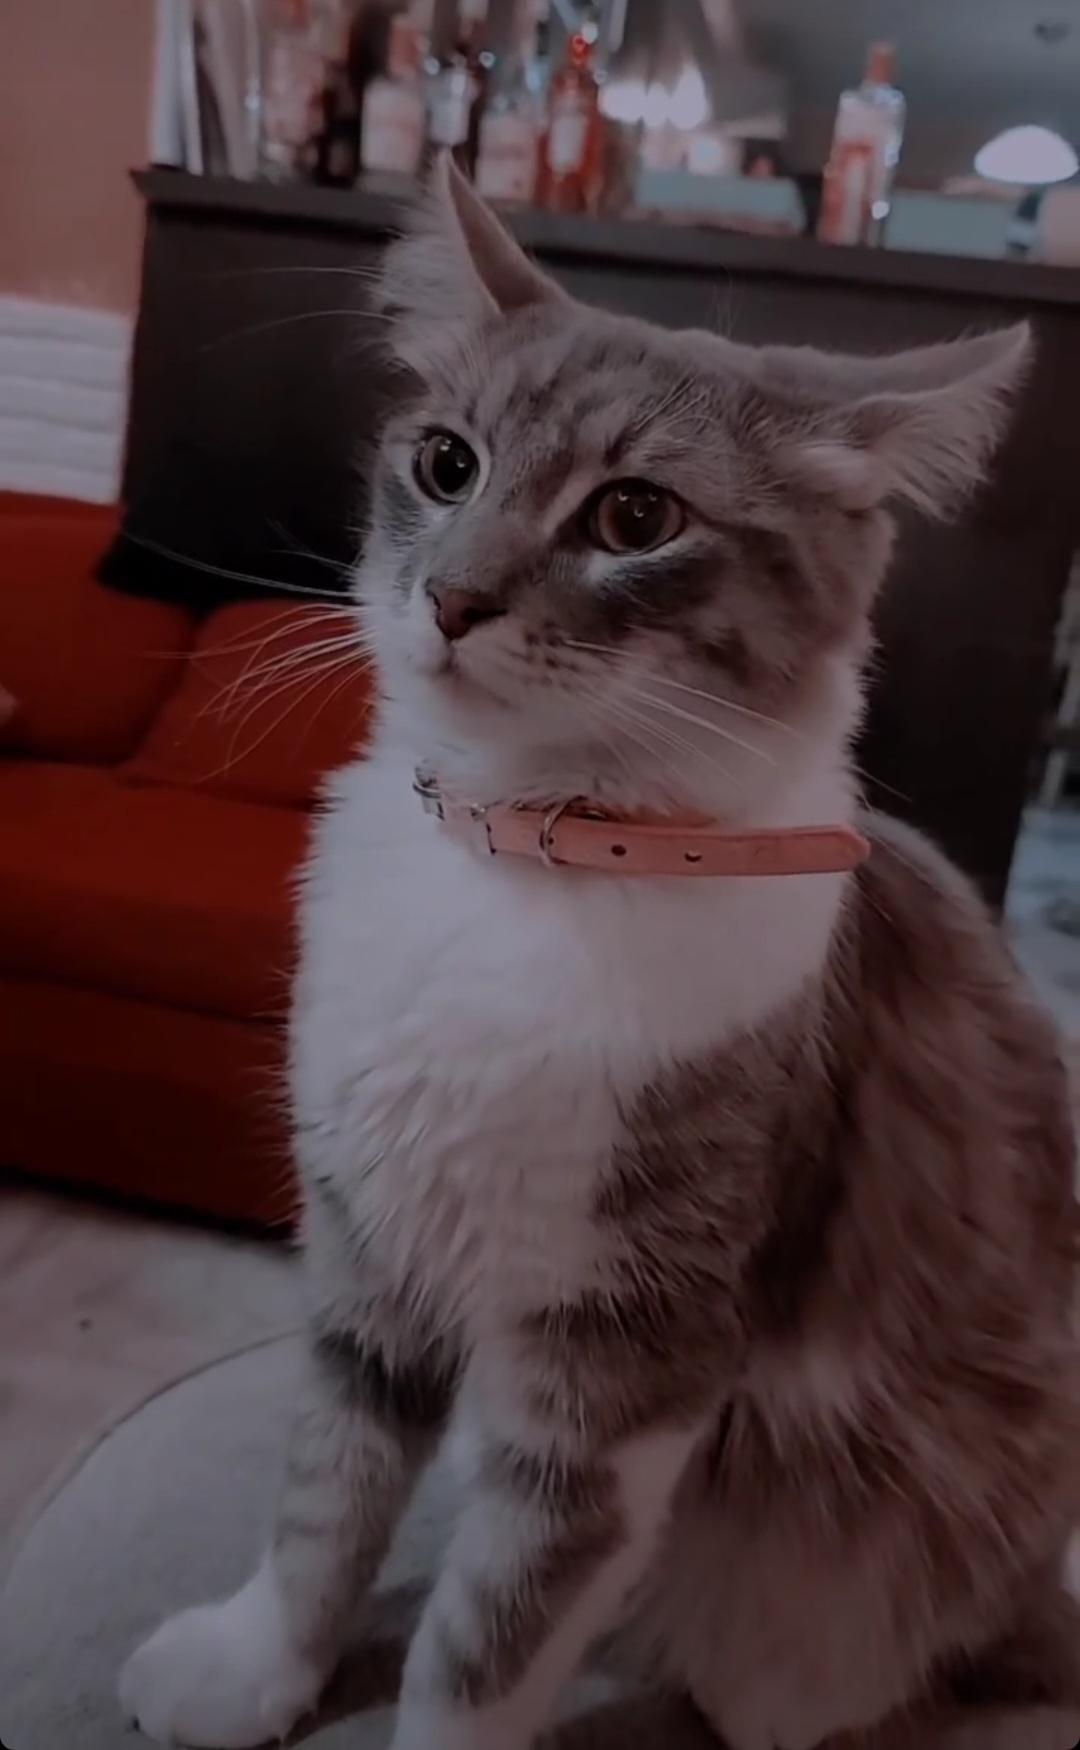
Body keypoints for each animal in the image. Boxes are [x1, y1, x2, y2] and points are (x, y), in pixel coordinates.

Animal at [120, 159, 1080, 1750]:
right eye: (447, 464)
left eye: (635, 515)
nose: (453, 598)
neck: (519, 864)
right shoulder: (369, 1251)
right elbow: (324, 1498)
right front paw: (251, 1670)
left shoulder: (618, 1368)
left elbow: (482, 1645)